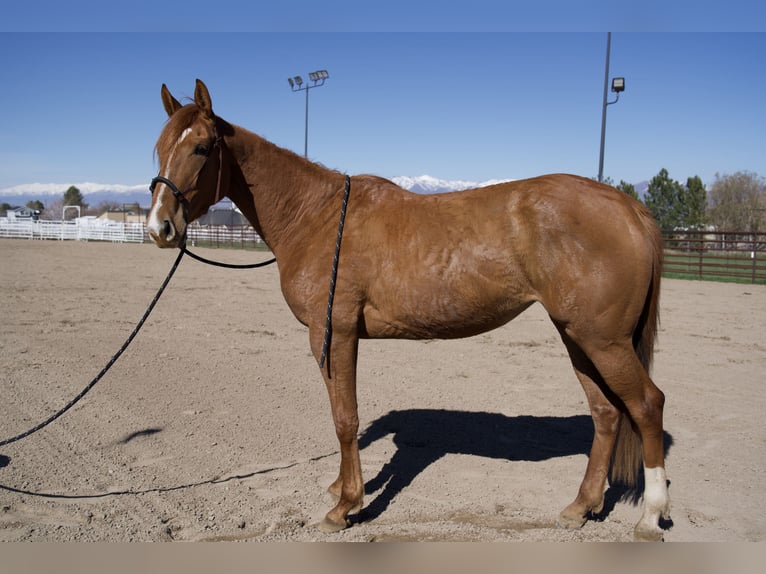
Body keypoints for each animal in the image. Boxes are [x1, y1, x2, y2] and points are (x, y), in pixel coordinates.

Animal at [147, 79, 668, 544]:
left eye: (201, 147)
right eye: (159, 147)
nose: (159, 227)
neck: (315, 217)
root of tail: (629, 208)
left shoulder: (334, 334)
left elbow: (345, 418)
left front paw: (344, 507)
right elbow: (344, 418)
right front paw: (342, 489)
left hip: (603, 341)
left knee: (646, 405)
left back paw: (650, 517)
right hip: (577, 336)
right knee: (606, 413)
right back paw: (581, 507)